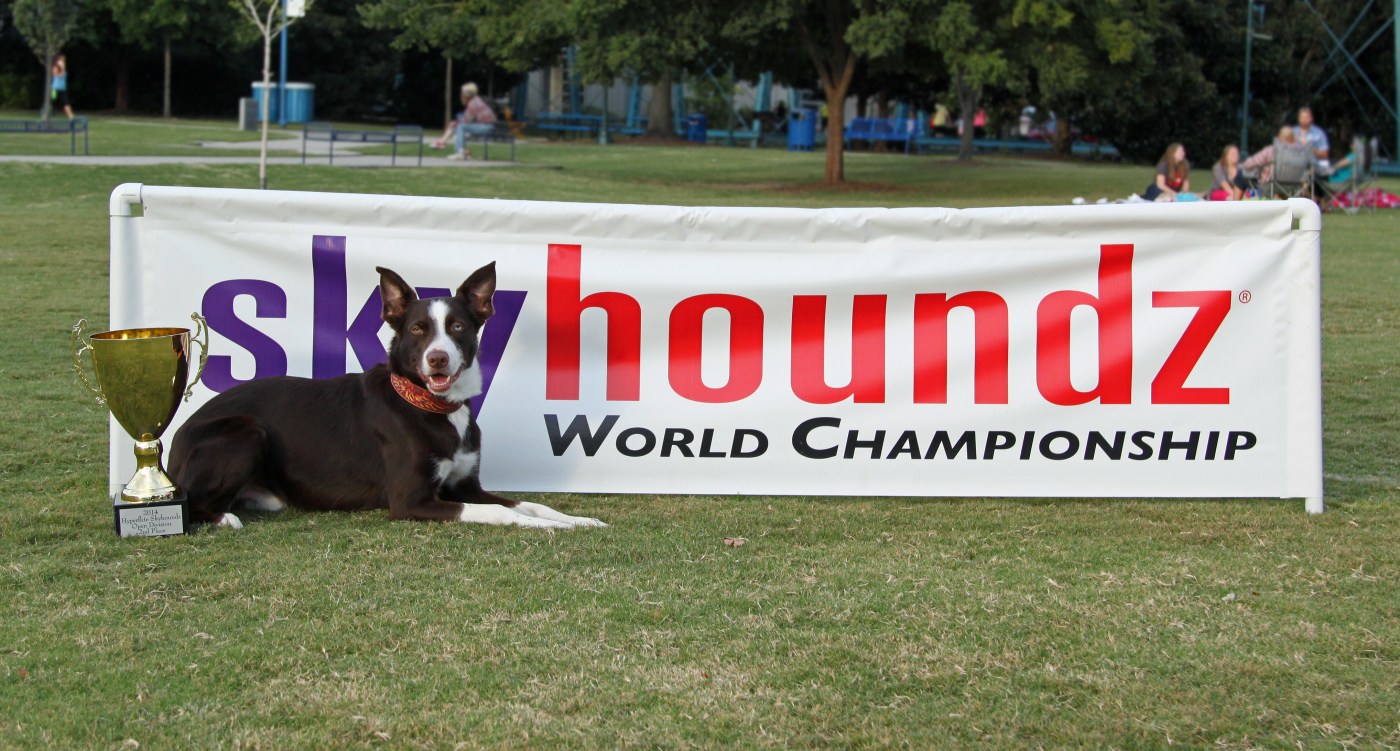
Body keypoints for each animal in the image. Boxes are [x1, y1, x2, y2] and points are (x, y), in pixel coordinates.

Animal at [168, 262, 605, 531]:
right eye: (417, 329)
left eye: (458, 326)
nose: (437, 359)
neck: (432, 408)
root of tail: (172, 447)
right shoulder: (411, 500)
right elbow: (500, 512)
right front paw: (543, 527)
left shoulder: (465, 486)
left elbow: (527, 503)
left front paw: (577, 520)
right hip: (246, 431)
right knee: (191, 502)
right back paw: (223, 519)